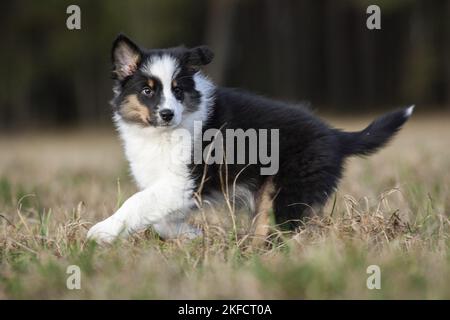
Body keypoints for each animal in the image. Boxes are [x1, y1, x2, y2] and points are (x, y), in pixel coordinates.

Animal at [86, 35, 414, 244]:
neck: (161, 133)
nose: (168, 114)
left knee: (285, 230)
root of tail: (334, 135)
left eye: (178, 90)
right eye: (147, 90)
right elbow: (157, 216)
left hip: (287, 194)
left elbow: (137, 202)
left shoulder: (183, 181)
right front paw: (191, 235)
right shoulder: (173, 187)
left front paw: (100, 233)